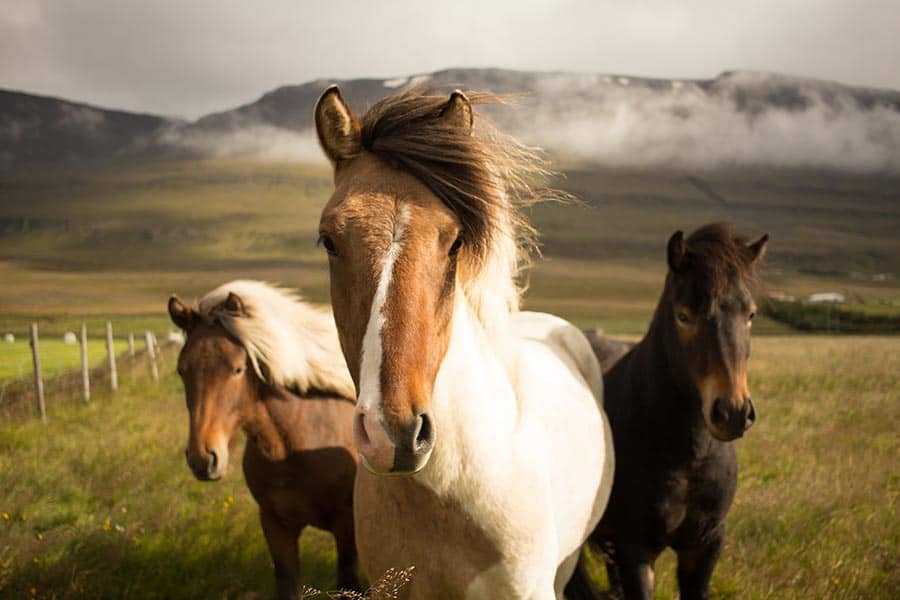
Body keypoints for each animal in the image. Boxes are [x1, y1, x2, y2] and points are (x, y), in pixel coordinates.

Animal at [169, 282, 362, 600]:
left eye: (237, 369)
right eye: (182, 369)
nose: (203, 458)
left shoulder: (346, 527)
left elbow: (349, 583)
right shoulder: (275, 525)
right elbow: (287, 584)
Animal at [568, 224, 768, 600]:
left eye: (750, 314)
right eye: (684, 315)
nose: (732, 412)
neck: (687, 456)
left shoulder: (704, 546)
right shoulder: (635, 550)